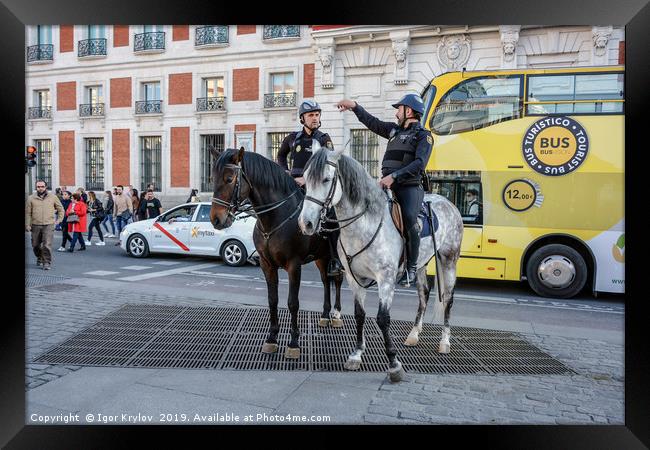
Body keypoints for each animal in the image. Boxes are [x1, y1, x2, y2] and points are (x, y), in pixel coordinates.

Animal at [211, 148, 344, 358]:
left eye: (230, 178)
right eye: (212, 178)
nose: (216, 219)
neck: (274, 218)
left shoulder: (294, 265)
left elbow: (292, 302)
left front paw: (294, 342)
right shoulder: (267, 265)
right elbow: (272, 300)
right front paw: (272, 337)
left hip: (336, 257)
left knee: (337, 279)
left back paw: (337, 314)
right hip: (321, 258)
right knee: (325, 281)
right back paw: (324, 315)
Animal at [296, 142, 464, 382]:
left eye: (326, 179)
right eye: (306, 178)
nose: (306, 223)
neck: (364, 224)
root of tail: (448, 202)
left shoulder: (385, 280)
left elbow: (383, 319)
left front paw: (393, 363)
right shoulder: (354, 278)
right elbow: (359, 315)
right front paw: (356, 354)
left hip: (448, 260)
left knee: (448, 299)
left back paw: (444, 341)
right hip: (421, 265)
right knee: (423, 294)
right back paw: (414, 334)